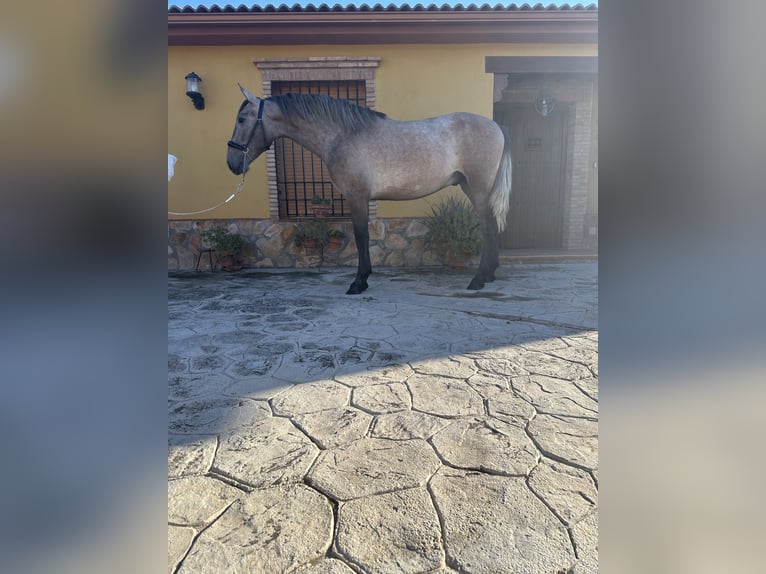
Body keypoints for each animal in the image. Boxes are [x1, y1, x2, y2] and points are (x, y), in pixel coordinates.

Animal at [228, 86, 516, 296]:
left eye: (241, 119)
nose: (232, 163)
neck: (342, 135)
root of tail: (496, 127)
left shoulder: (357, 196)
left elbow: (361, 237)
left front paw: (359, 282)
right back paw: (489, 275)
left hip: (478, 188)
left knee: (488, 226)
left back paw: (478, 280)